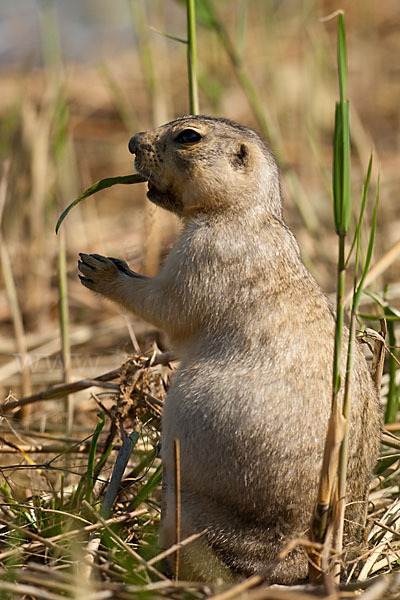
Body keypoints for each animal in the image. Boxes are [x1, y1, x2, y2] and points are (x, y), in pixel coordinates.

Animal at [78, 115, 382, 584]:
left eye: (188, 136)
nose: (131, 141)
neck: (244, 214)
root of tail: (300, 555)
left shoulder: (204, 255)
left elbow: (167, 304)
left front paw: (100, 269)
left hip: (186, 509)